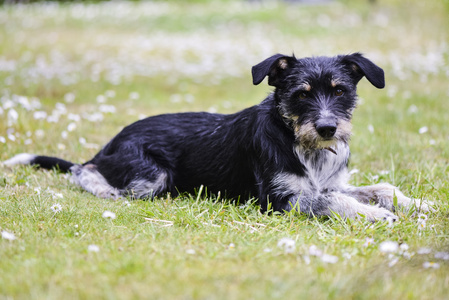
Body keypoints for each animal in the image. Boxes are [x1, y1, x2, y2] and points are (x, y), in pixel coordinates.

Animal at [4, 52, 430, 220]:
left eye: (340, 91)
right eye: (301, 94)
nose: (328, 129)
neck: (299, 143)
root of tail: (110, 143)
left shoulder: (329, 182)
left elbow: (380, 187)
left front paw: (416, 204)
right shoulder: (281, 200)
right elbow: (332, 202)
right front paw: (375, 215)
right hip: (151, 178)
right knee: (84, 171)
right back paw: (102, 187)